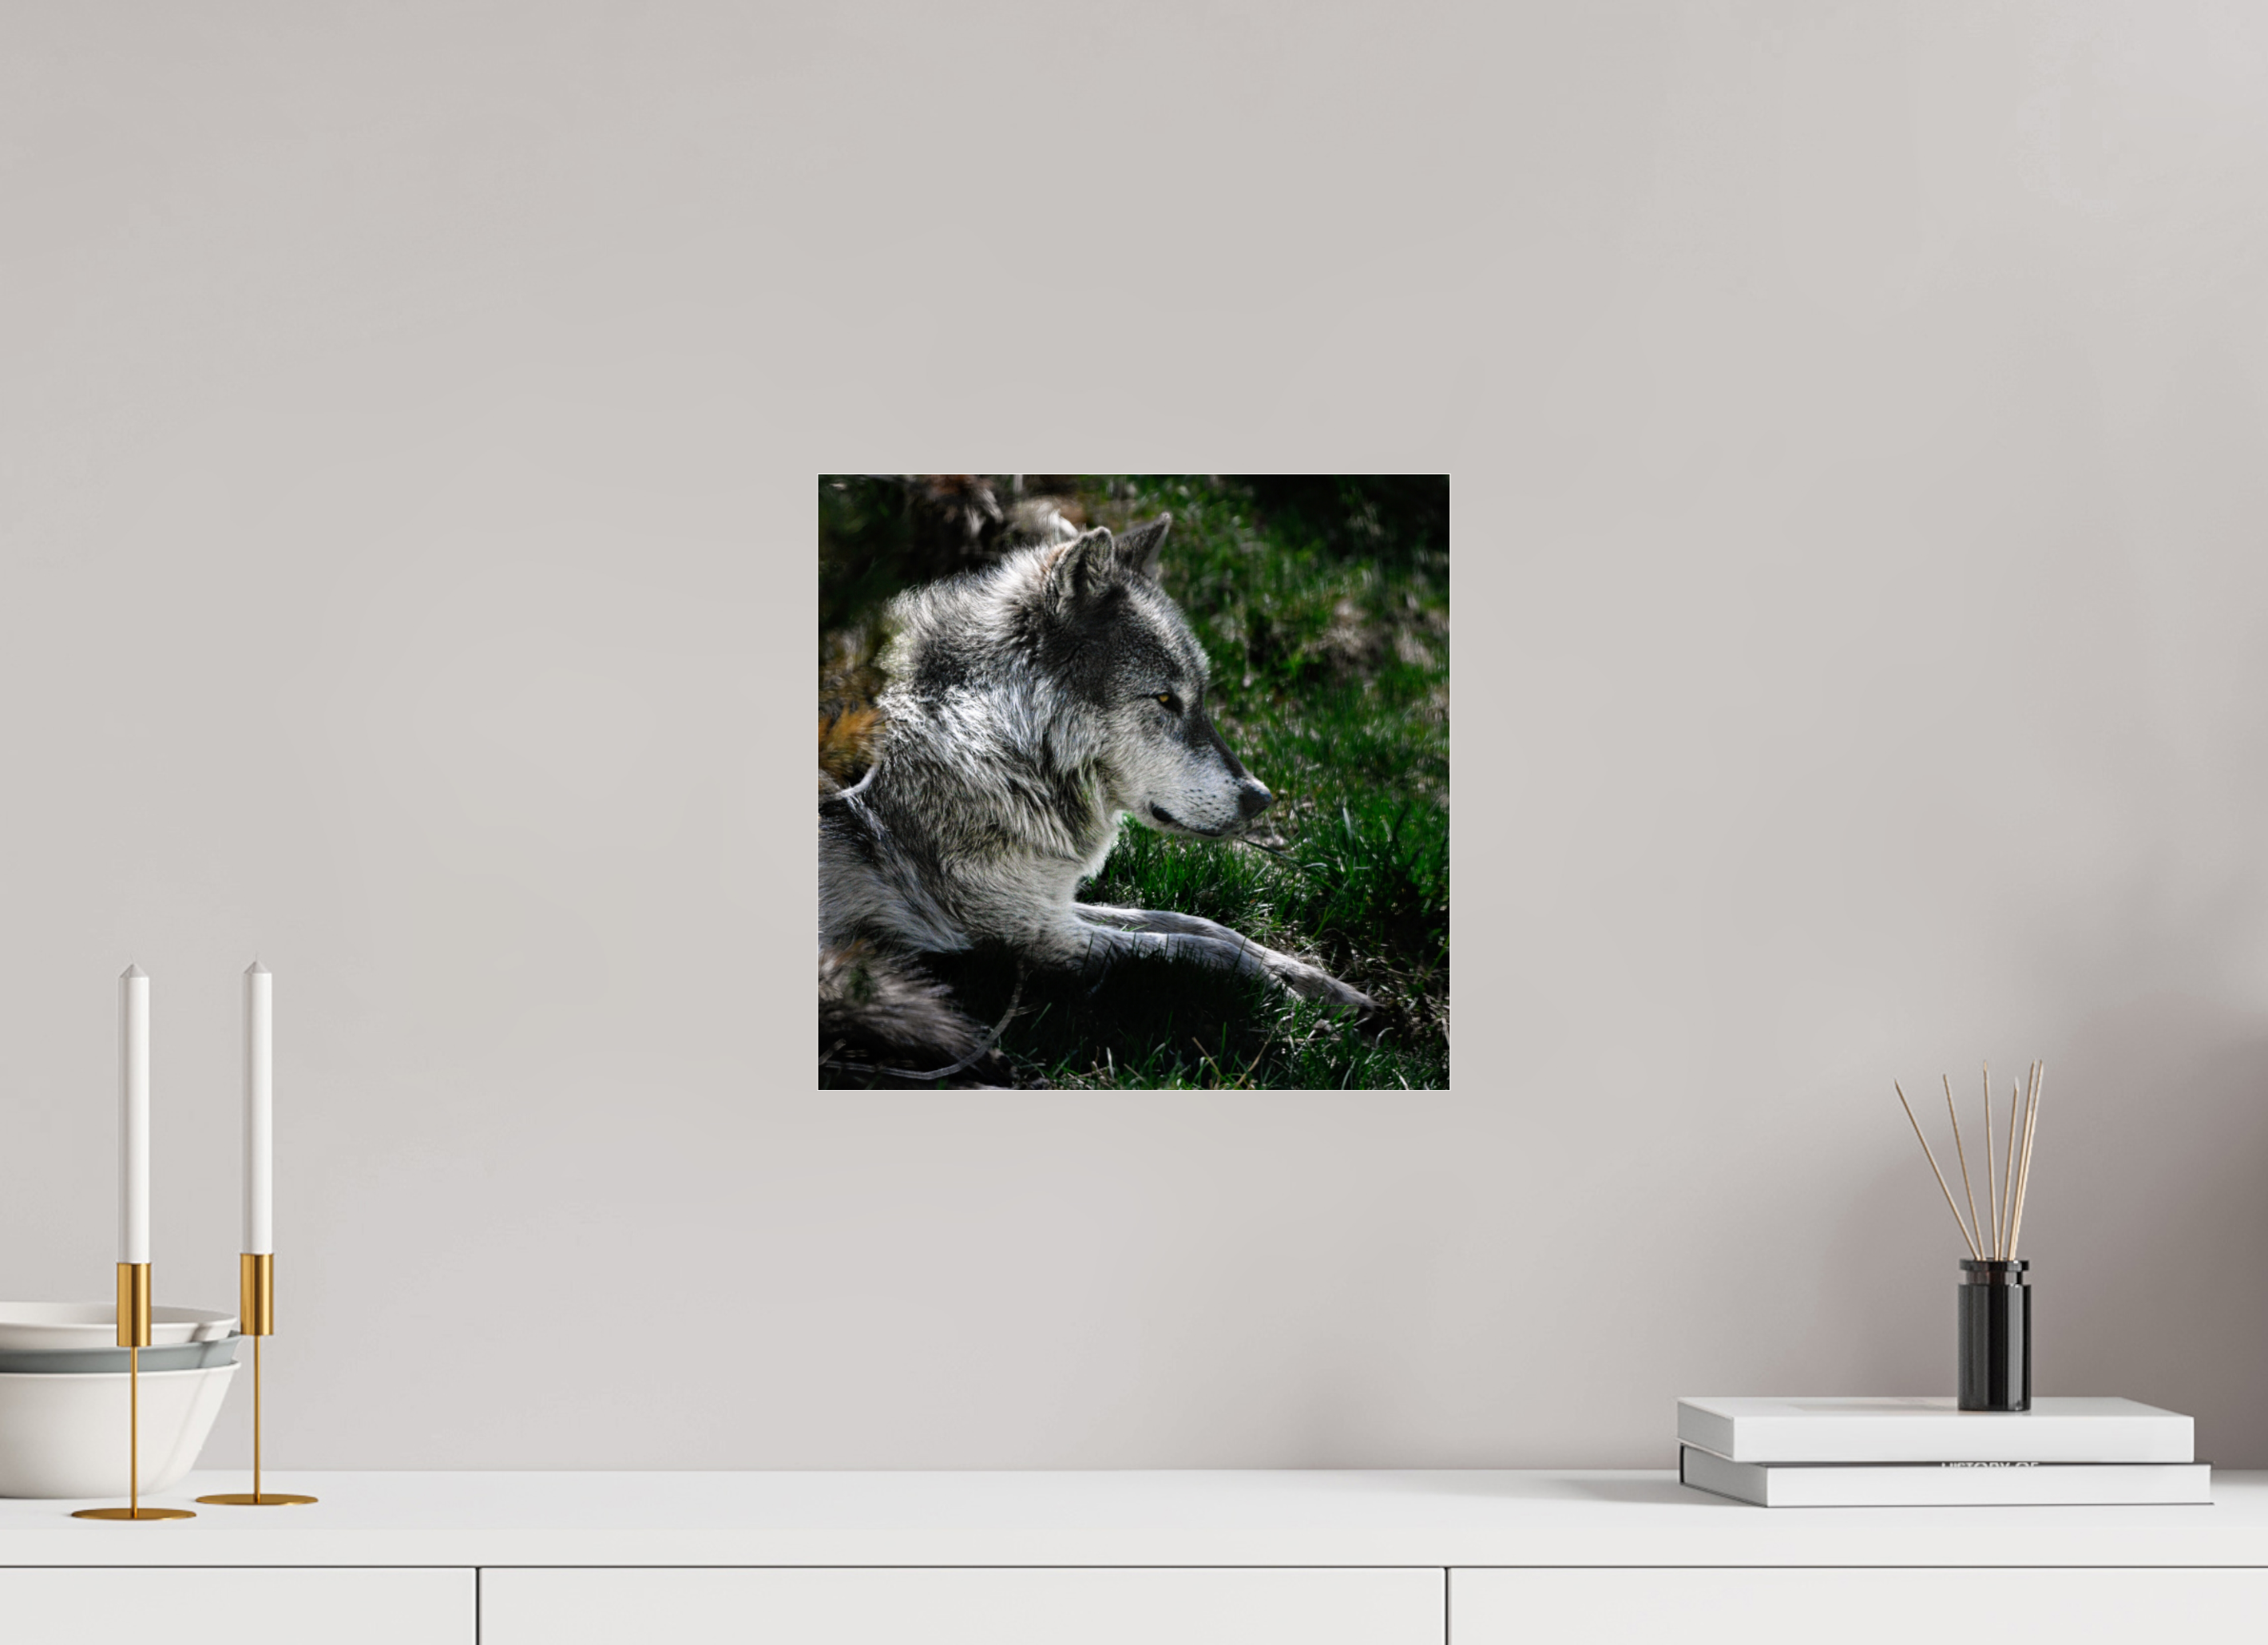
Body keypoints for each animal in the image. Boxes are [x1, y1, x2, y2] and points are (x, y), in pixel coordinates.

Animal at [820, 514, 1375, 1071]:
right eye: (1165, 699)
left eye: (1200, 699)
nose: (1261, 798)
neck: (983, 734)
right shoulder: (1027, 934)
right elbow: (1192, 949)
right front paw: (1282, 994)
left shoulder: (1048, 903)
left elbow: (1202, 924)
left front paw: (1322, 984)